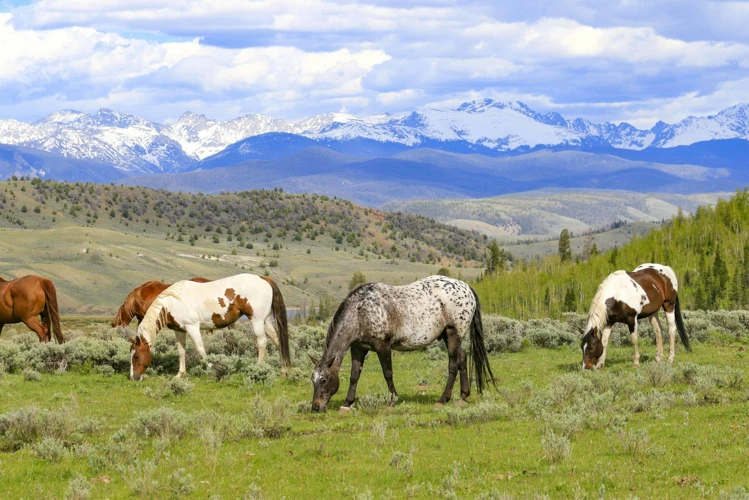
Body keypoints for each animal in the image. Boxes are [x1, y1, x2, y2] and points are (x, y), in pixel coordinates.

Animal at [131, 274, 290, 378]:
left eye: (136, 356)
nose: (134, 377)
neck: (172, 303)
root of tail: (264, 279)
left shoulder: (192, 327)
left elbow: (200, 349)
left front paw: (211, 368)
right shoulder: (180, 330)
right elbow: (181, 351)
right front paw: (180, 374)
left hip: (256, 320)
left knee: (262, 342)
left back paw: (258, 368)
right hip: (265, 320)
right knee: (277, 341)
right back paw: (283, 371)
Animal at [312, 276, 496, 412]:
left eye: (324, 380)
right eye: (312, 381)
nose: (315, 407)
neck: (359, 311)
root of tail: (466, 287)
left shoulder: (382, 346)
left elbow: (387, 373)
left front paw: (392, 400)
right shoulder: (358, 348)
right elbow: (354, 375)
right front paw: (347, 403)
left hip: (453, 334)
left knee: (453, 364)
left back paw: (443, 399)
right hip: (449, 336)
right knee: (462, 358)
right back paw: (463, 396)